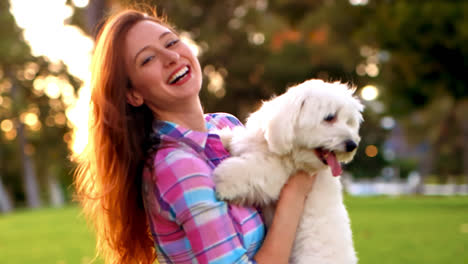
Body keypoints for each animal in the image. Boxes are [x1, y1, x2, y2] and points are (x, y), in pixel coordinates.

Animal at [214, 79, 364, 264]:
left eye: (348, 122)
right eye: (330, 117)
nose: (352, 145)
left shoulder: (276, 175)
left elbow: (255, 170)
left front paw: (224, 181)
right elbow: (236, 140)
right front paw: (222, 137)